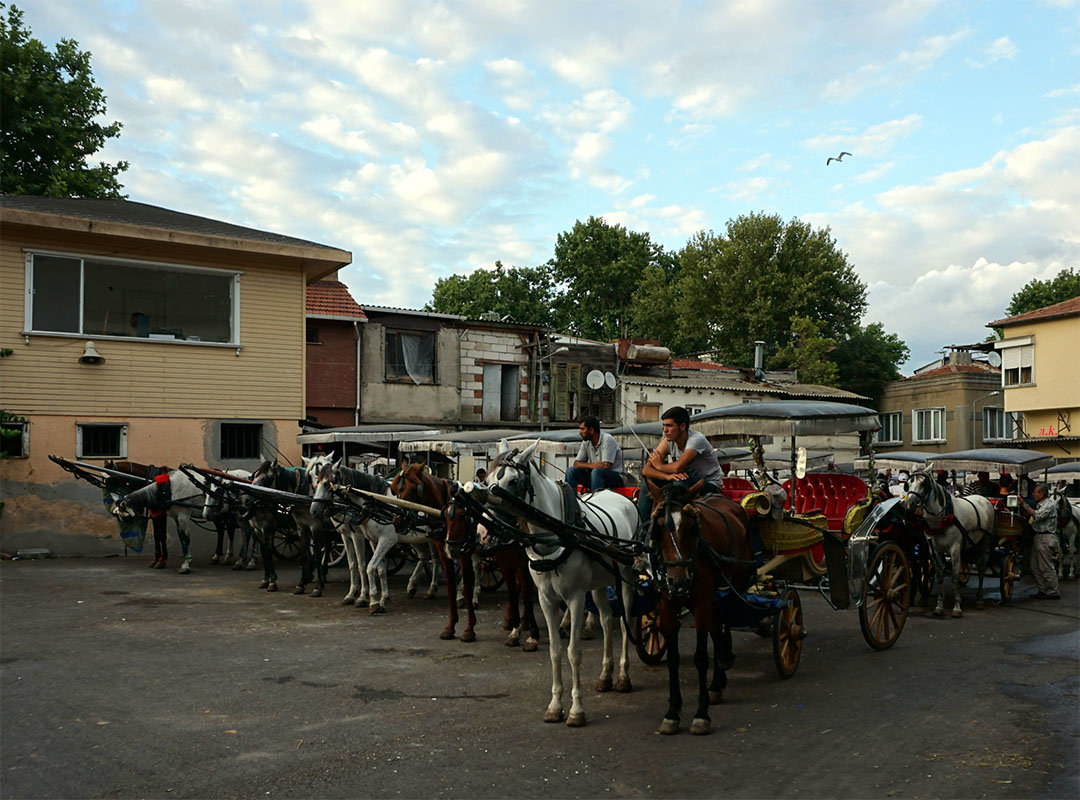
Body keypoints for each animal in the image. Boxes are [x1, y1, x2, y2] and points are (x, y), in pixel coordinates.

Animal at [390, 457, 479, 639]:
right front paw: (450, 627)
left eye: (413, 488)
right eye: (396, 490)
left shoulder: (463, 552)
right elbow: (450, 584)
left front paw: (469, 629)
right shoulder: (443, 550)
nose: (398, 521)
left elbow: (467, 584)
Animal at [442, 485, 540, 647]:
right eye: (445, 516)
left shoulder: (523, 563)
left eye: (463, 515)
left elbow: (526, 594)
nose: (450, 550)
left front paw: (533, 635)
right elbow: (511, 592)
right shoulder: (500, 561)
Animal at [481, 440, 639, 725]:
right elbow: (555, 650)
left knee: (623, 623)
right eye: (486, 480)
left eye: (512, 481)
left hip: (627, 577)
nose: (484, 532)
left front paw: (576, 709)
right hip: (599, 584)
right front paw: (555, 705)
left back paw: (622, 677)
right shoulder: (546, 599)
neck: (554, 533)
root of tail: (623, 497)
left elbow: (573, 652)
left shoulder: (575, 598)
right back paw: (605, 676)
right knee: (606, 621)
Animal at [643, 477, 756, 734]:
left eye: (693, 529)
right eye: (657, 529)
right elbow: (673, 659)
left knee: (725, 621)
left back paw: (723, 662)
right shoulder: (667, 607)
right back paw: (718, 679)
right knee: (717, 625)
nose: (679, 581)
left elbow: (701, 657)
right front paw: (672, 712)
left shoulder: (701, 605)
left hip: (734, 584)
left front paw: (701, 714)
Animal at [902, 470, 993, 613]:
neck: (943, 517)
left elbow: (955, 576)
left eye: (924, 484)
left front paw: (957, 607)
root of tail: (984, 498)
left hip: (986, 541)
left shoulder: (955, 549)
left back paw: (979, 599)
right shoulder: (934, 550)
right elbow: (939, 575)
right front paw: (939, 605)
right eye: (909, 484)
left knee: (982, 568)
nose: (909, 504)